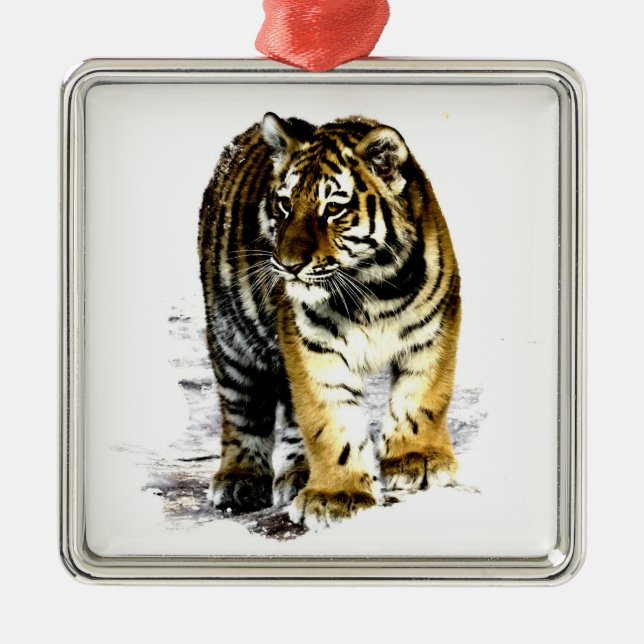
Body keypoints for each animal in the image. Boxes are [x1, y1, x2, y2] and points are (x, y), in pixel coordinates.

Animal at [198, 112, 461, 530]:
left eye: (333, 210)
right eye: (284, 205)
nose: (288, 265)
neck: (374, 287)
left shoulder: (434, 328)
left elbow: (423, 396)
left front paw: (418, 461)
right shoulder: (312, 345)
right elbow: (329, 420)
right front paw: (337, 496)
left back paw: (299, 473)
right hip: (232, 339)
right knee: (243, 410)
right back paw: (240, 481)